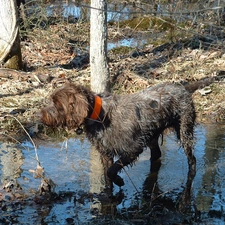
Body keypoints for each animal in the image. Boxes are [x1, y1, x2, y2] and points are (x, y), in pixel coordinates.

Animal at [40, 82, 197, 188]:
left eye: (58, 104)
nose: (41, 116)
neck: (99, 116)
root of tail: (182, 88)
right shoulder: (105, 154)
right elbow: (107, 175)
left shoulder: (132, 150)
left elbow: (111, 171)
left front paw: (119, 181)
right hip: (152, 135)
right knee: (157, 154)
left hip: (184, 131)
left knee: (192, 158)